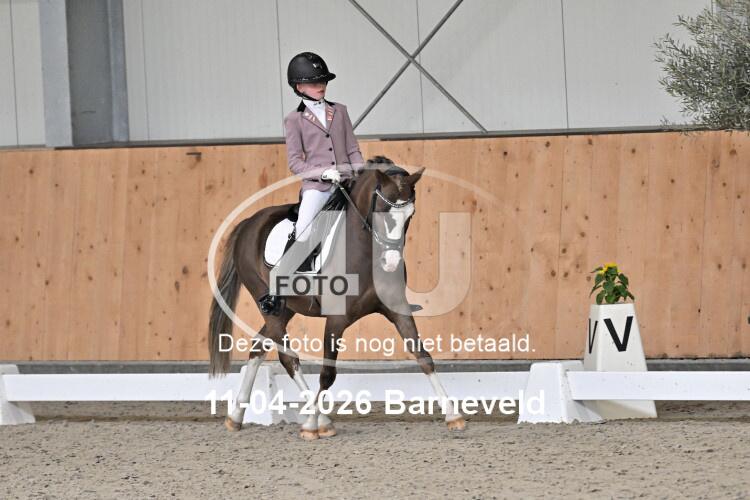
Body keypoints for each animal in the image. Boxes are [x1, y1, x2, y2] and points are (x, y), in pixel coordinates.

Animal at [208, 156, 466, 439]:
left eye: (410, 214)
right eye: (381, 212)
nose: (390, 262)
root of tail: (250, 223)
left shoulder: (398, 309)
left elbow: (423, 356)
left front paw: (454, 417)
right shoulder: (336, 319)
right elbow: (327, 373)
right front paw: (311, 426)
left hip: (285, 308)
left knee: (258, 345)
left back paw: (235, 417)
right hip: (266, 302)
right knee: (288, 358)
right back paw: (317, 419)